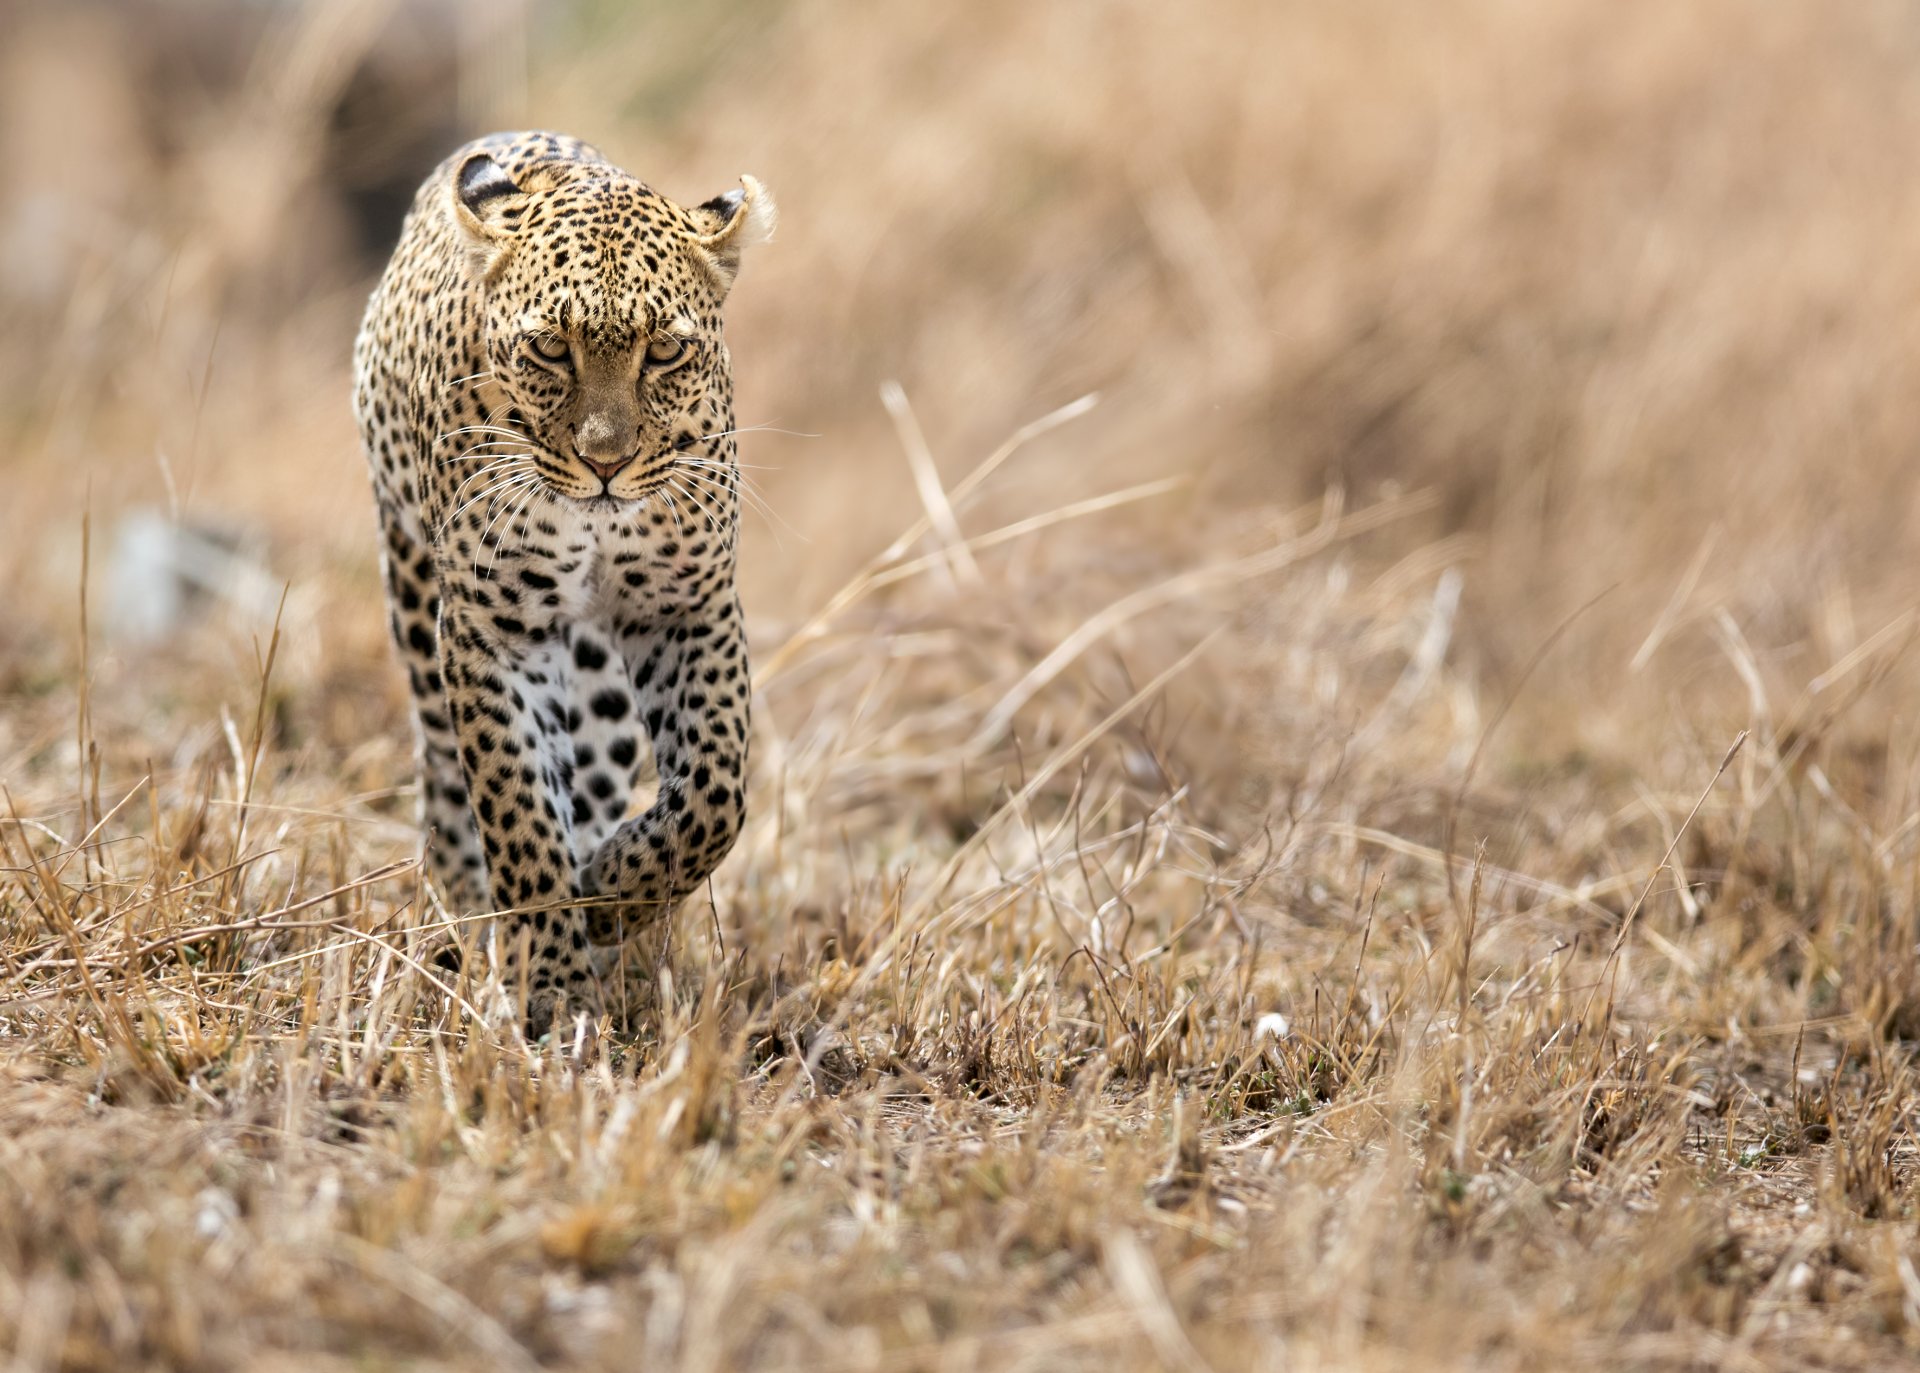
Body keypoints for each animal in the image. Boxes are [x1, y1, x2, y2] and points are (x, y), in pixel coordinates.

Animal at [352, 131, 774, 1033]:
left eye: (664, 351)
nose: (605, 462)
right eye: (550, 348)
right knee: (448, 779)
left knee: (598, 773)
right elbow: (516, 805)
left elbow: (713, 795)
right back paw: (467, 916)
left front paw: (610, 893)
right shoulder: (492, 628)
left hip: (600, 680)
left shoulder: (688, 606)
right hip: (414, 590)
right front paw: (546, 976)